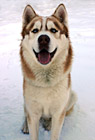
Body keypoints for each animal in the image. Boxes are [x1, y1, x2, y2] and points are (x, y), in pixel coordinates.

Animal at [20, 3, 77, 140]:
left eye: (53, 30)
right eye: (35, 30)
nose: (43, 39)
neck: (46, 79)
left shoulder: (59, 112)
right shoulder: (33, 112)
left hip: (71, 97)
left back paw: (48, 123)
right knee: (26, 113)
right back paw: (25, 126)